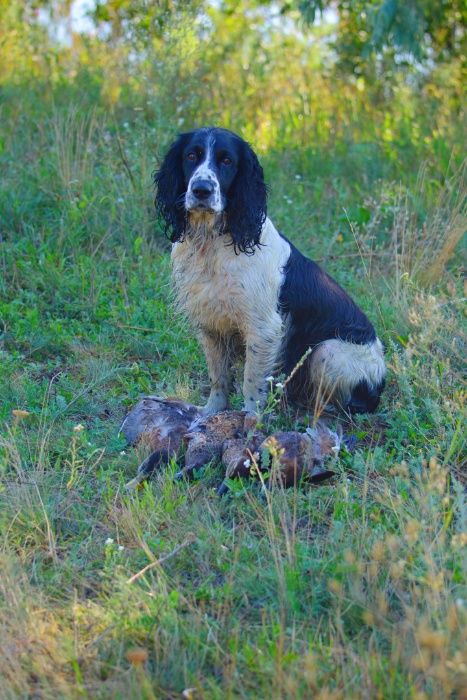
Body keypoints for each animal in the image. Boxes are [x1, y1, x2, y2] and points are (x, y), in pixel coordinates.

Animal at [155, 127, 386, 416]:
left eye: (227, 160)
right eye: (191, 155)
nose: (201, 190)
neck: (211, 243)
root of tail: (381, 378)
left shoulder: (264, 328)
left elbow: (251, 382)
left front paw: (251, 419)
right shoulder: (210, 323)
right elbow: (218, 377)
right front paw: (211, 412)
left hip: (327, 351)